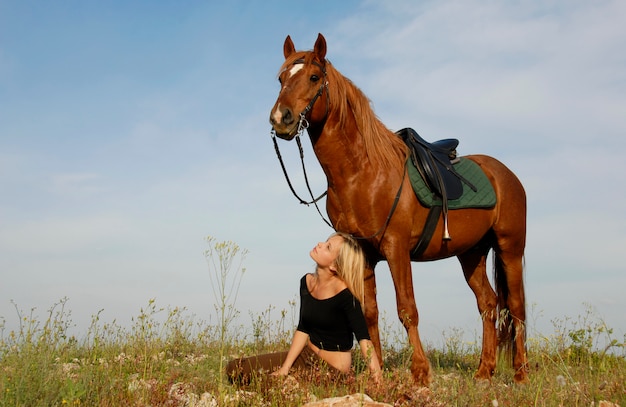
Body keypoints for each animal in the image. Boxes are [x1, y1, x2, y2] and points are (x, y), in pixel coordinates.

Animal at [268, 33, 528, 388]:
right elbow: (369, 313)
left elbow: (407, 309)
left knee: (515, 307)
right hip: (471, 253)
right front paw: (376, 370)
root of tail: (505, 174)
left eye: (314, 77)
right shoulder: (363, 254)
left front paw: (420, 371)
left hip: (509, 249)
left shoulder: (396, 248)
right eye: (281, 78)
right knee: (488, 305)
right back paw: (484, 371)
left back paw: (521, 373)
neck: (362, 172)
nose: (281, 119)